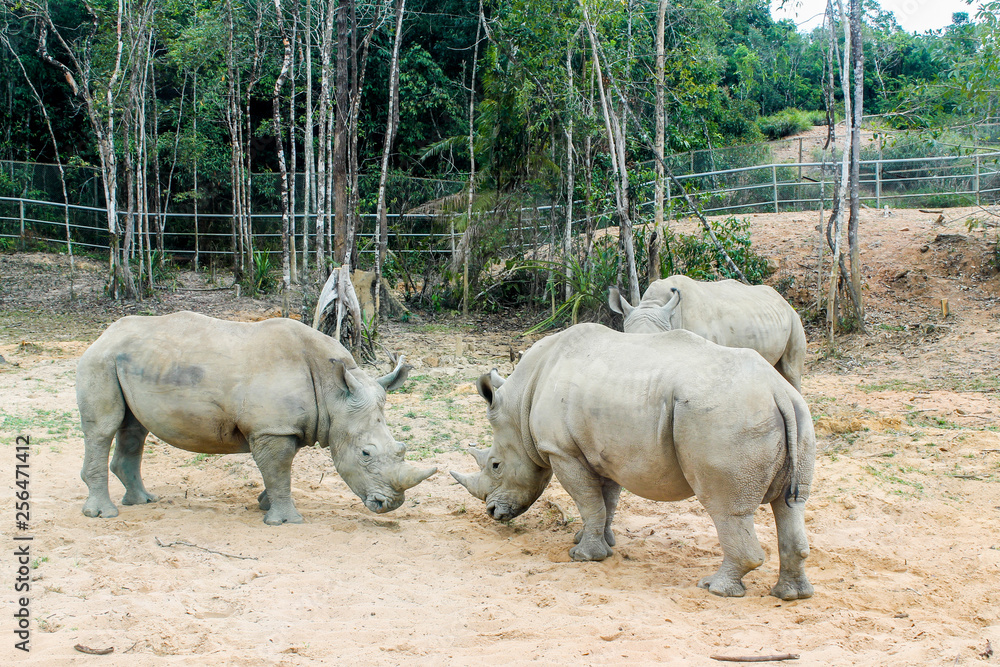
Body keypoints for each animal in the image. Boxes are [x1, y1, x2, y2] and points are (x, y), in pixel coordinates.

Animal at [76, 311, 436, 525]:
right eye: (365, 454)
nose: (391, 504)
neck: (334, 393)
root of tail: (104, 334)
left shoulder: (282, 427)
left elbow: (278, 472)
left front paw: (264, 505)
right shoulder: (272, 429)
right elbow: (279, 470)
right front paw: (286, 521)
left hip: (130, 361)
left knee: (134, 429)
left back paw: (143, 501)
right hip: (100, 360)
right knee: (103, 429)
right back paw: (103, 515)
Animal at [452, 324, 815, 599]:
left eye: (495, 465)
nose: (492, 512)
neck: (521, 402)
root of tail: (776, 390)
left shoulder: (562, 451)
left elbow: (589, 501)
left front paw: (583, 556)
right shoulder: (602, 452)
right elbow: (604, 502)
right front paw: (596, 541)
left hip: (726, 417)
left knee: (726, 509)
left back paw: (714, 588)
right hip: (796, 411)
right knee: (791, 505)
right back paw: (791, 595)